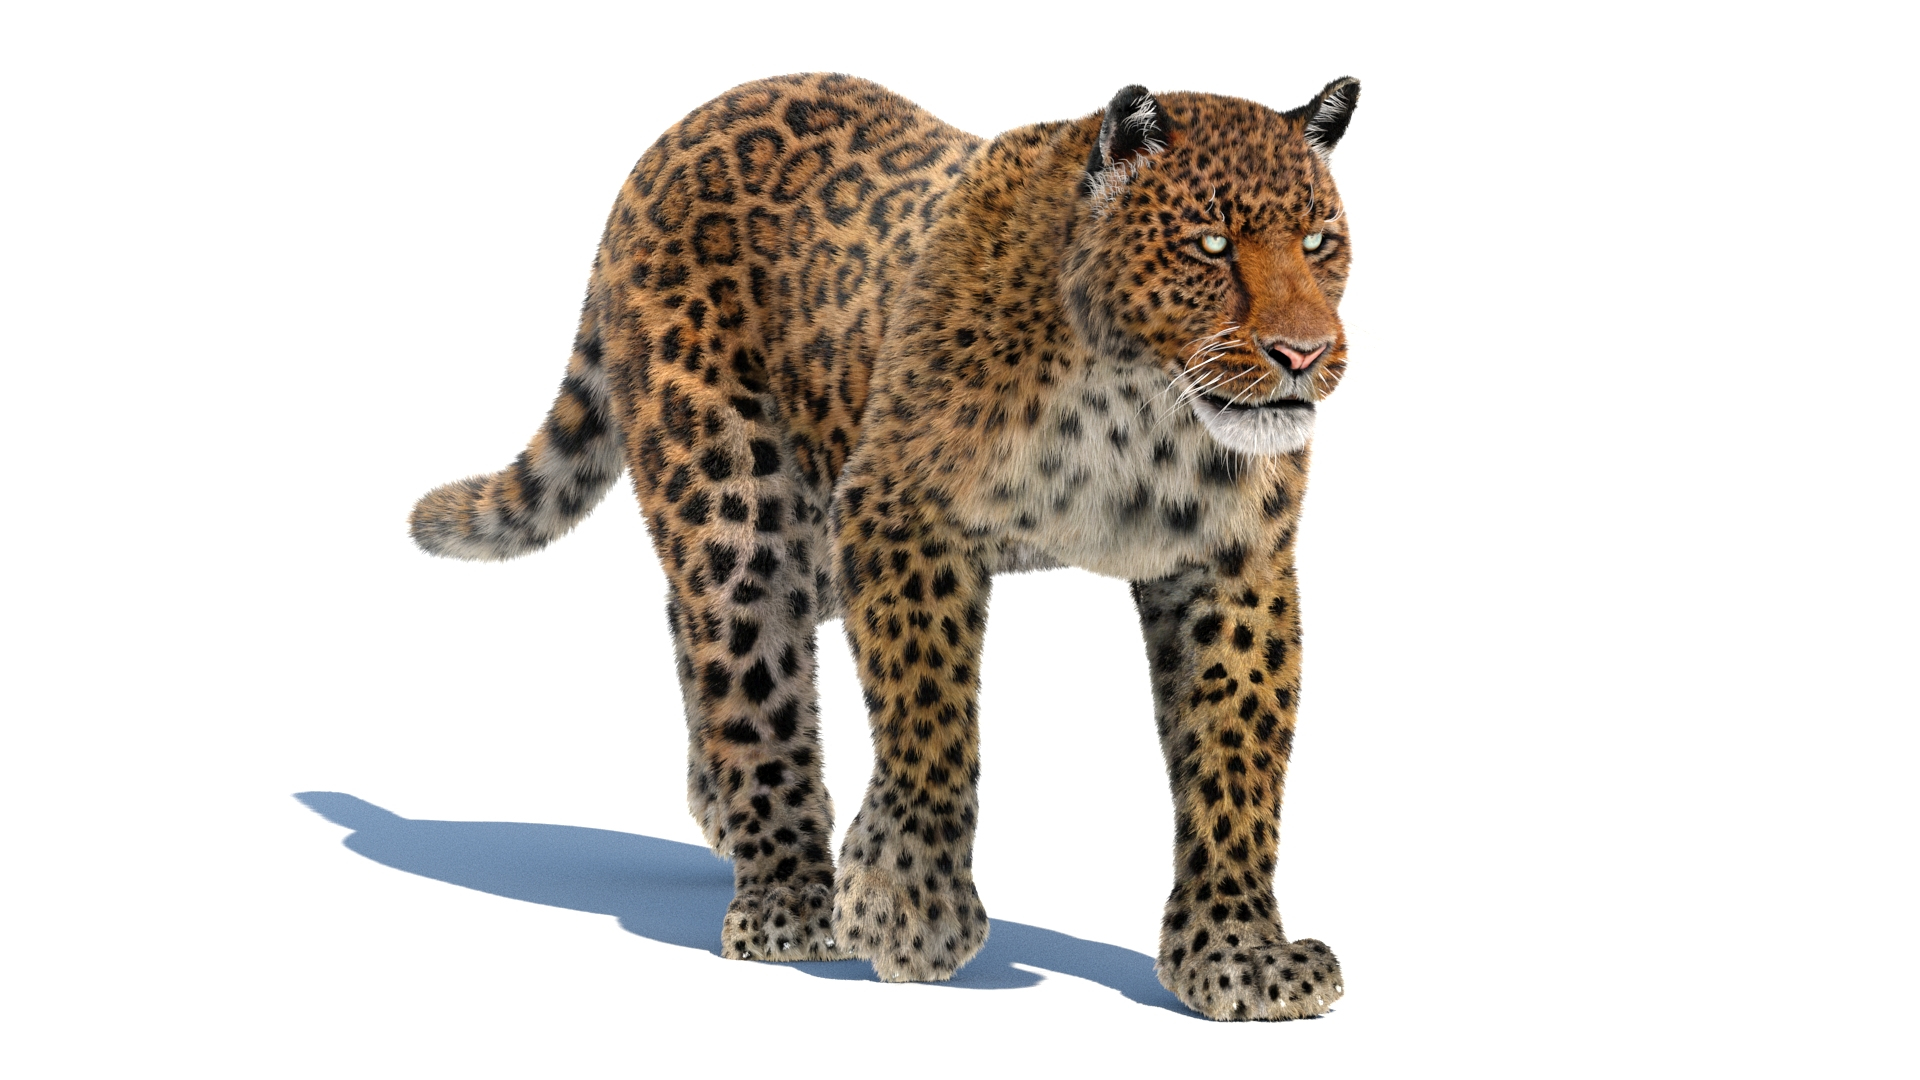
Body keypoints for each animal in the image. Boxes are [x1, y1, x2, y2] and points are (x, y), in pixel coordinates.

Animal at [408, 72, 1361, 1021]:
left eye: (1319, 240)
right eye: (1211, 244)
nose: (1302, 353)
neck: (1140, 404)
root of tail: (680, 132)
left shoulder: (1233, 566)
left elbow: (1237, 758)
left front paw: (1239, 955)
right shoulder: (897, 515)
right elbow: (928, 715)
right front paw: (908, 906)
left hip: (807, 539)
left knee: (697, 631)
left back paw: (723, 813)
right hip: (737, 500)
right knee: (746, 663)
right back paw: (788, 897)